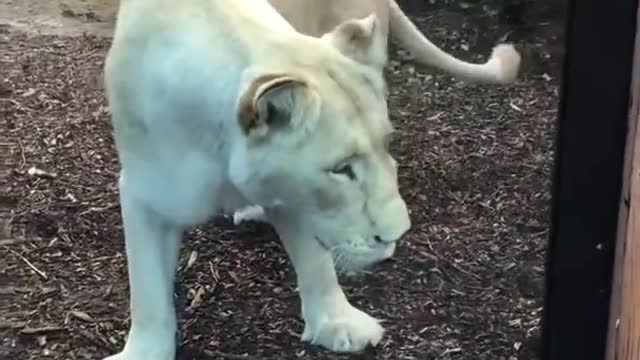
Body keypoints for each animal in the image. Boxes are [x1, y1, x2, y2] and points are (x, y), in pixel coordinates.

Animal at [100, 1, 410, 358]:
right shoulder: (147, 193)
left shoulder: (296, 195)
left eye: (386, 143)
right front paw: (144, 351)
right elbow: (147, 285)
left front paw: (337, 322)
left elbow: (315, 261)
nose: (399, 232)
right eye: (341, 168)